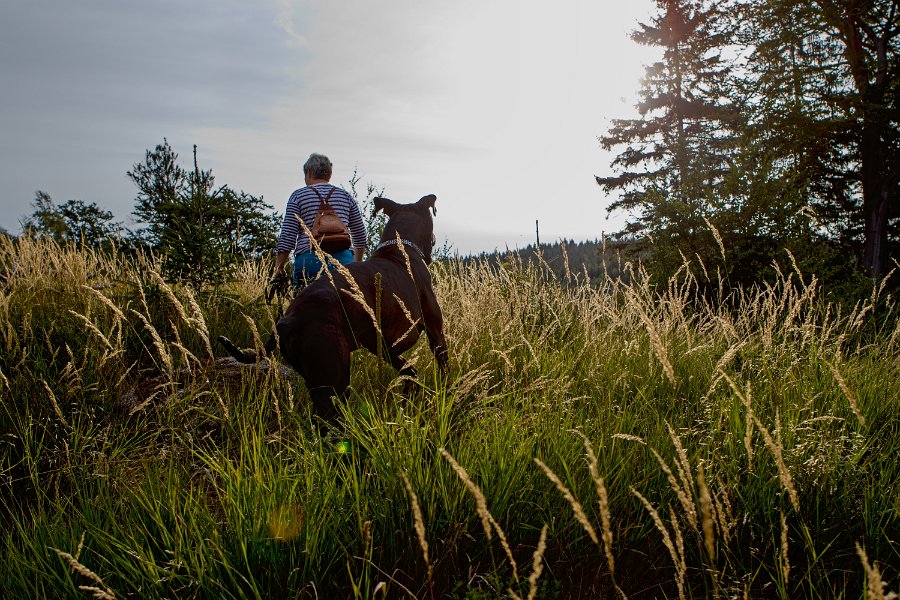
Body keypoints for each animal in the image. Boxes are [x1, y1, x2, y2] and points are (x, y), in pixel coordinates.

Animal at [219, 195, 450, 424]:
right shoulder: (434, 332)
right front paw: (446, 392)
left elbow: (409, 371)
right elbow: (440, 367)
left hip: (320, 378)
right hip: (333, 375)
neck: (400, 250)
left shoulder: (381, 344)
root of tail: (286, 321)